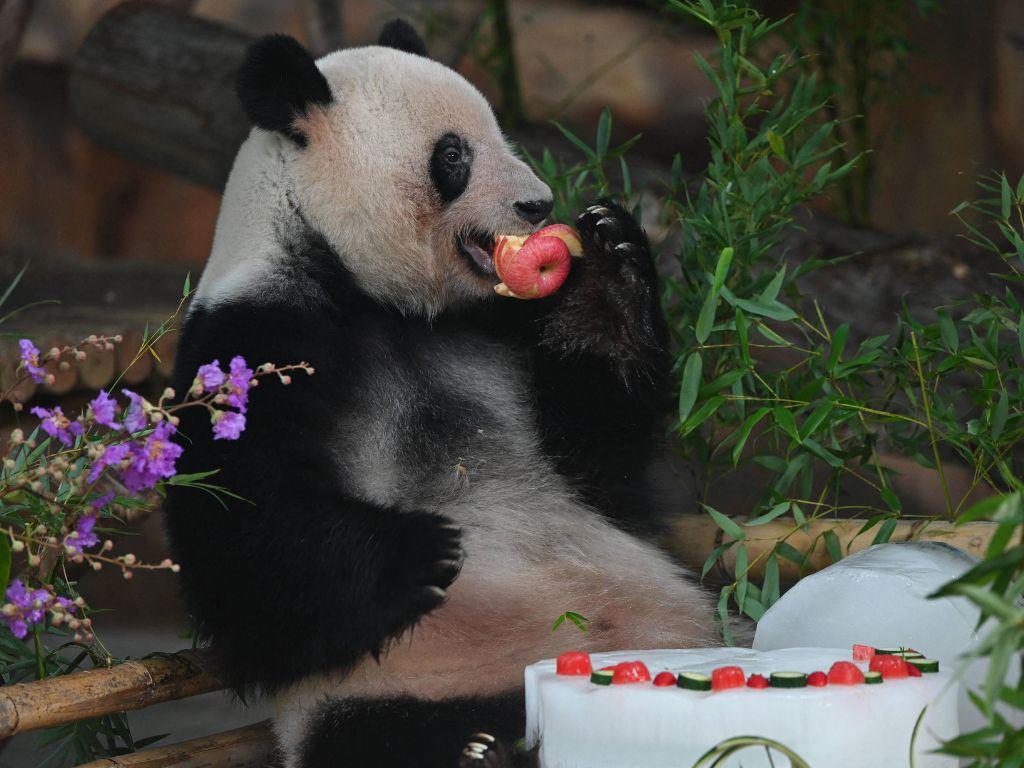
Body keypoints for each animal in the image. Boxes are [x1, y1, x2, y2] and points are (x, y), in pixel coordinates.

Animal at [164, 19, 719, 768]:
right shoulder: (254, 340)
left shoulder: (498, 326)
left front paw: (607, 267)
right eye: (453, 154)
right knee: (387, 736)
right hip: (403, 686)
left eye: (499, 130)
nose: (538, 204)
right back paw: (486, 748)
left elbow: (599, 463)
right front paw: (424, 551)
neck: (380, 299)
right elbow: (242, 547)